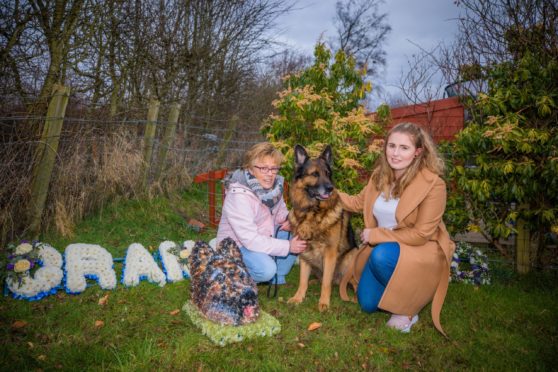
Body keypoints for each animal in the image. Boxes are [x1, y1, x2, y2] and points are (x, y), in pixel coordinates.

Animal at [288, 145, 358, 310]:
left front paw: (324, 302)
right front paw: (298, 297)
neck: (312, 212)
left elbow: (326, 281)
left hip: (351, 257)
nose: (330, 188)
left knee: (351, 282)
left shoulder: (330, 253)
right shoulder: (304, 251)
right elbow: (302, 280)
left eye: (328, 174)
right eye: (314, 174)